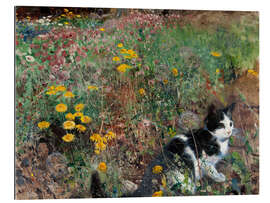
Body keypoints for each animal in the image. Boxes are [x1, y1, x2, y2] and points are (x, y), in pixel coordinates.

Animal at [89, 103, 235, 197]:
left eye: (230, 124)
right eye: (221, 125)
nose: (229, 131)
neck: (215, 137)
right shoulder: (204, 160)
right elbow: (212, 170)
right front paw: (220, 178)